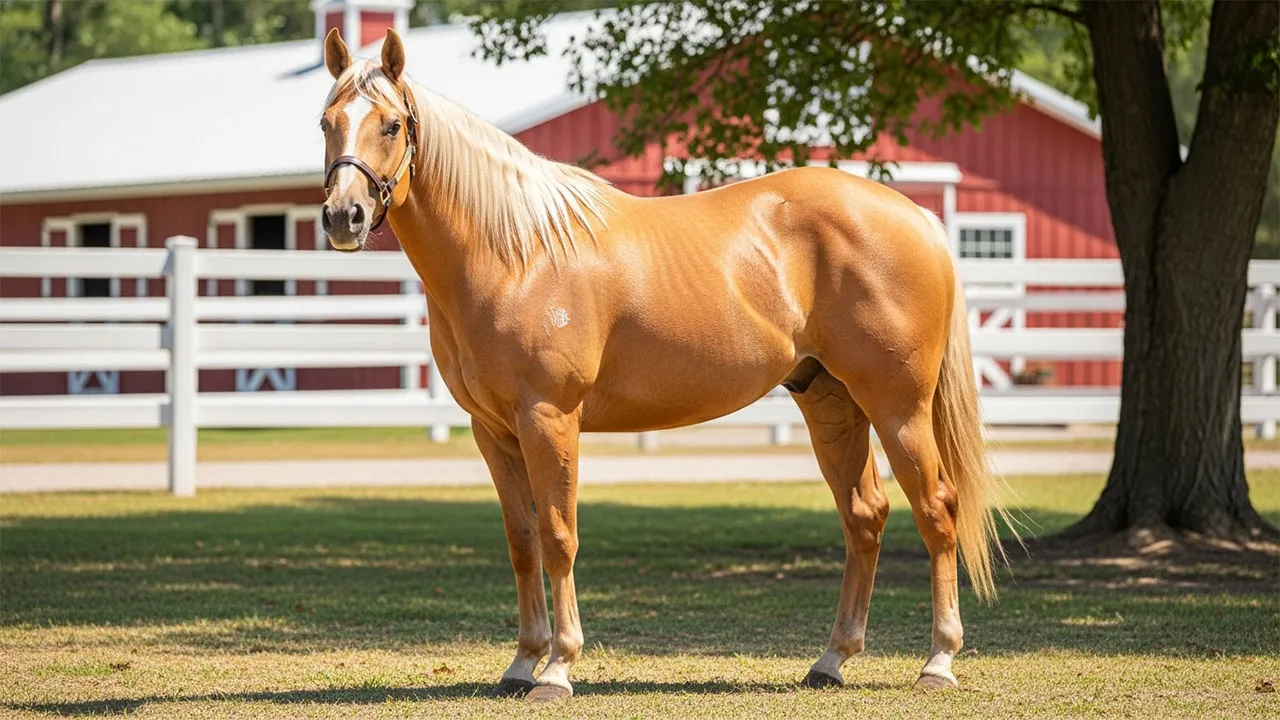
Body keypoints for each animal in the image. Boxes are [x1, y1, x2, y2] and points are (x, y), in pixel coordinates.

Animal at [318, 27, 1012, 701]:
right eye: (326, 122)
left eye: (392, 125)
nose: (342, 216)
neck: (516, 255)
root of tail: (916, 216)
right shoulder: (494, 431)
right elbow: (522, 543)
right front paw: (520, 664)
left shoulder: (549, 420)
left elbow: (559, 537)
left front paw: (558, 670)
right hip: (831, 402)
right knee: (865, 517)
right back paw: (831, 661)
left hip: (897, 406)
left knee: (937, 510)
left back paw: (938, 662)